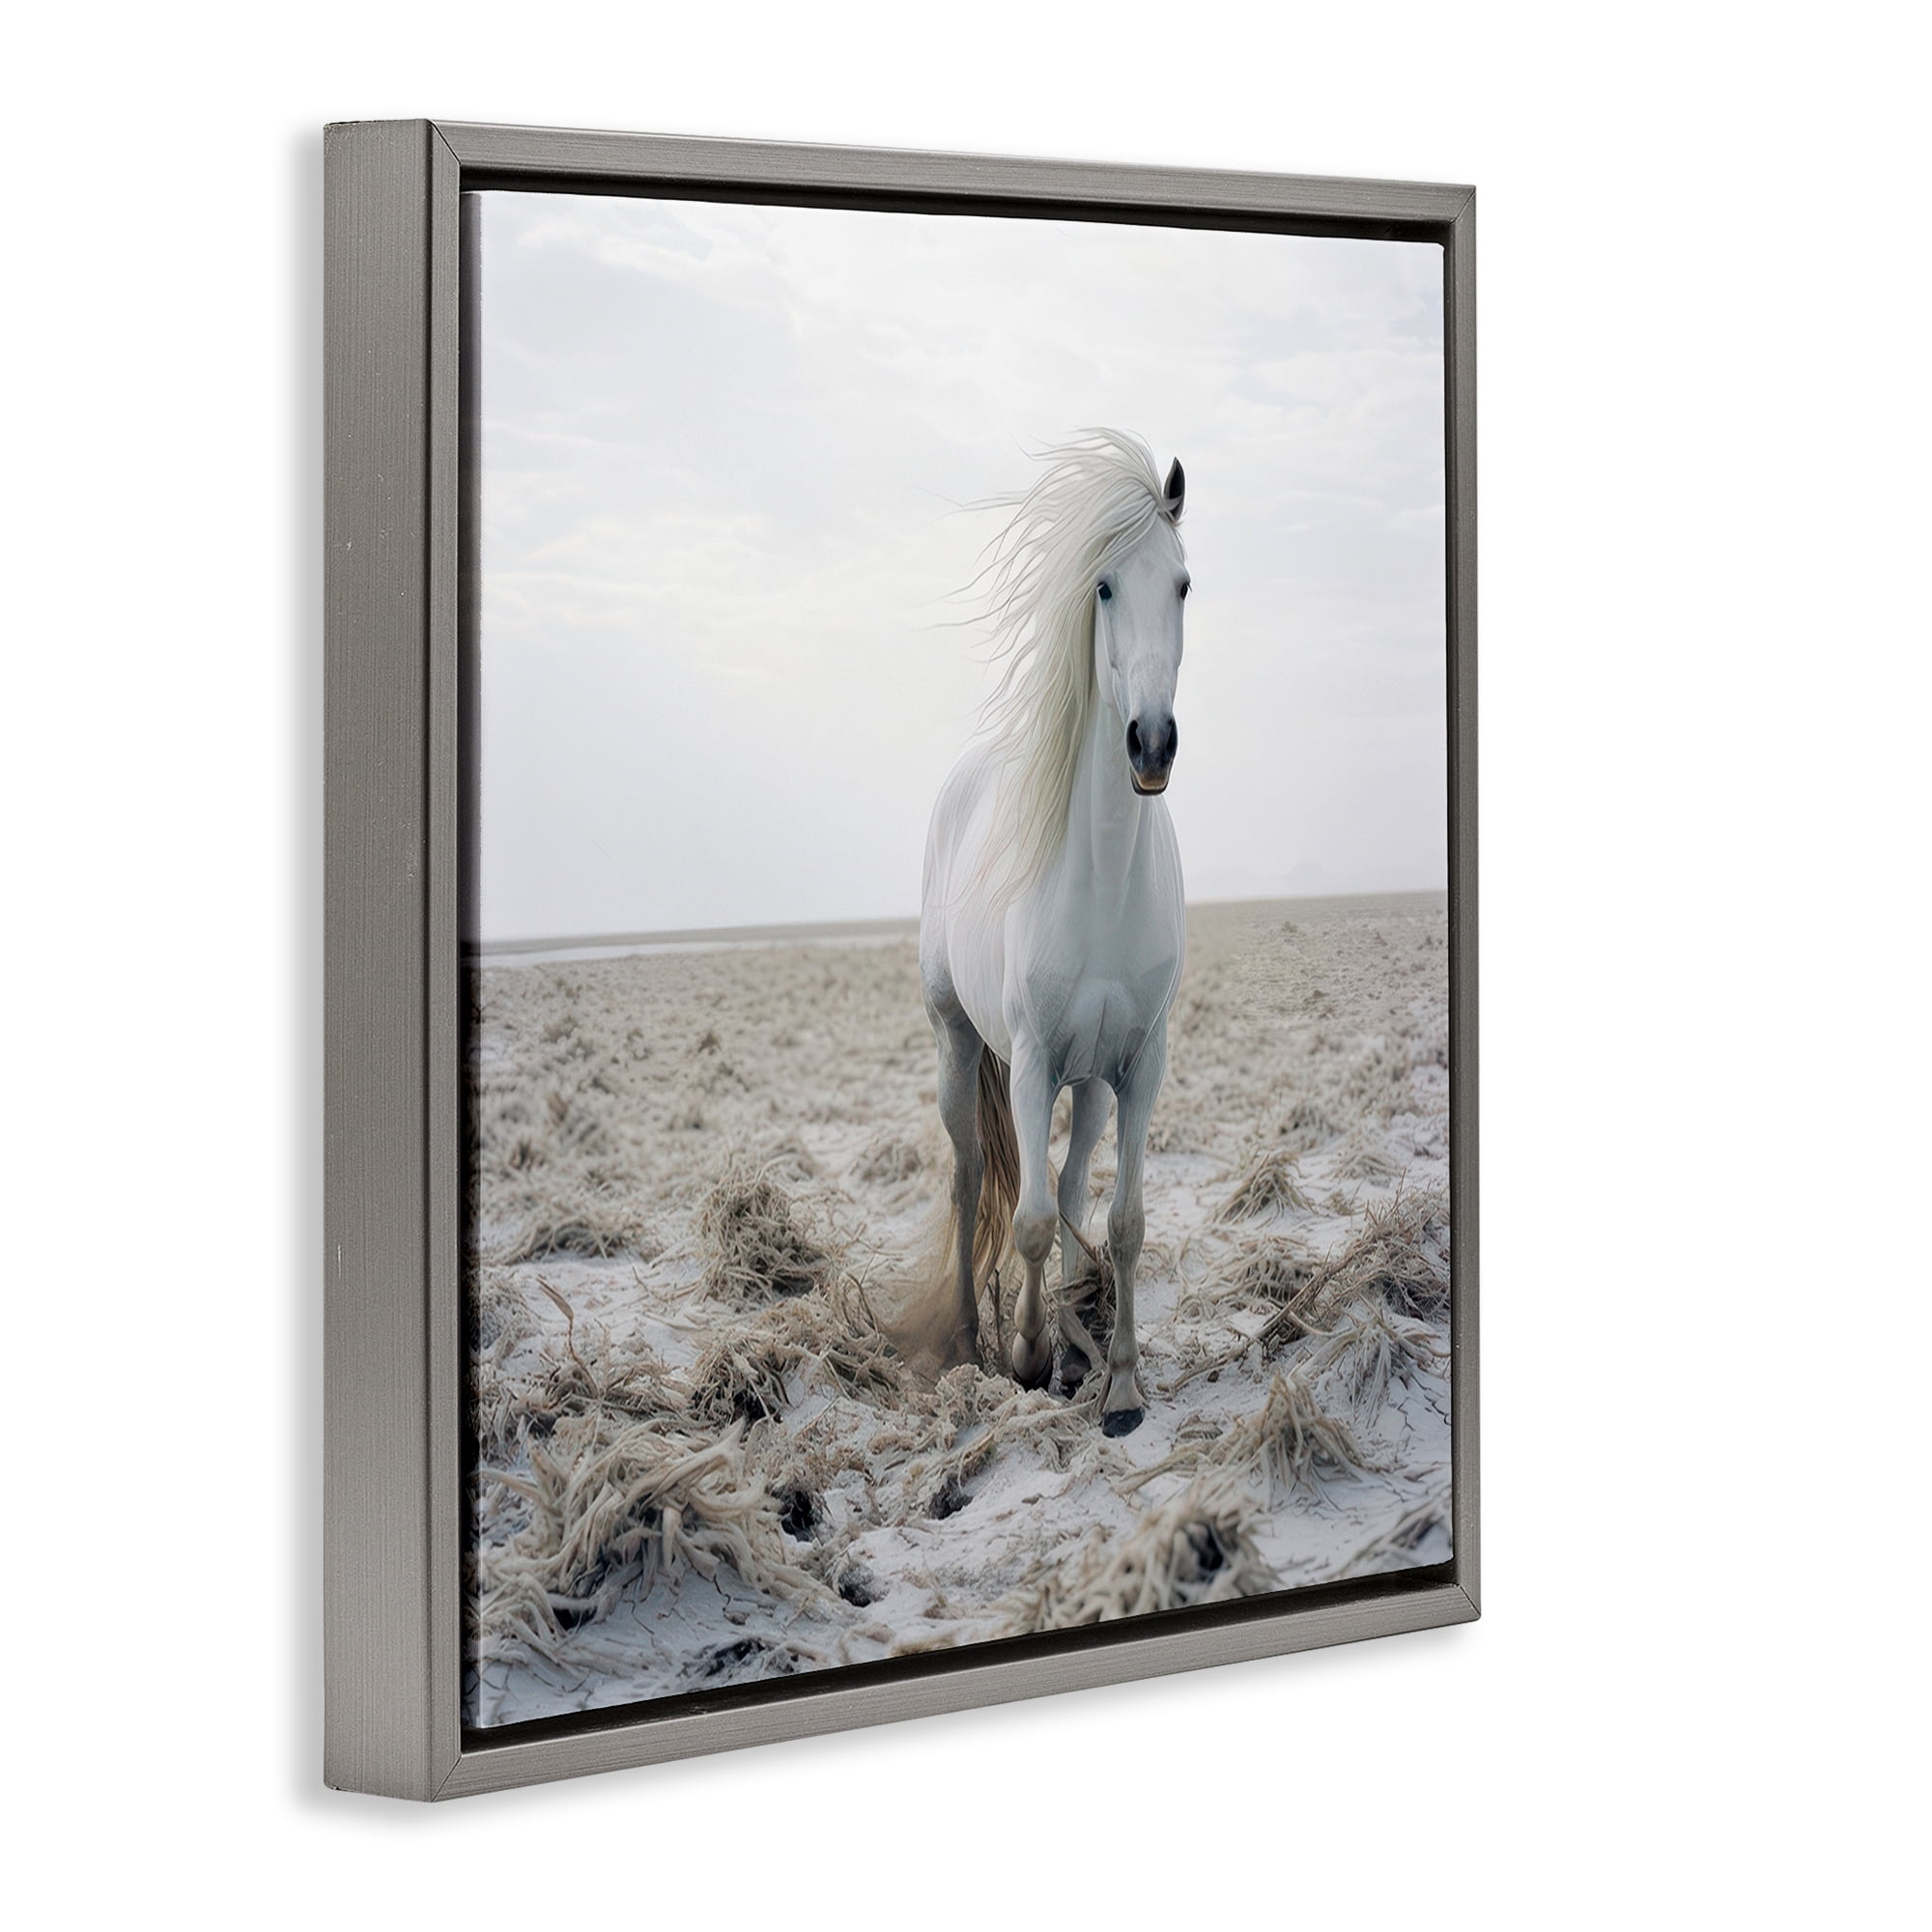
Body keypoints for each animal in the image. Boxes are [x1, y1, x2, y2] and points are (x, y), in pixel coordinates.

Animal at [919, 431, 1188, 1437]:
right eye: (1103, 587)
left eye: (1182, 583)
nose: (1152, 743)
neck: (1104, 878)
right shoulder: (1032, 1061)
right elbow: (1029, 1219)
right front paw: (1031, 1355)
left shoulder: (1137, 1065)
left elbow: (1123, 1221)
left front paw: (1118, 1382)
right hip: (961, 1046)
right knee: (972, 1183)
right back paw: (974, 1340)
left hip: (1093, 1081)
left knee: (1070, 1188)